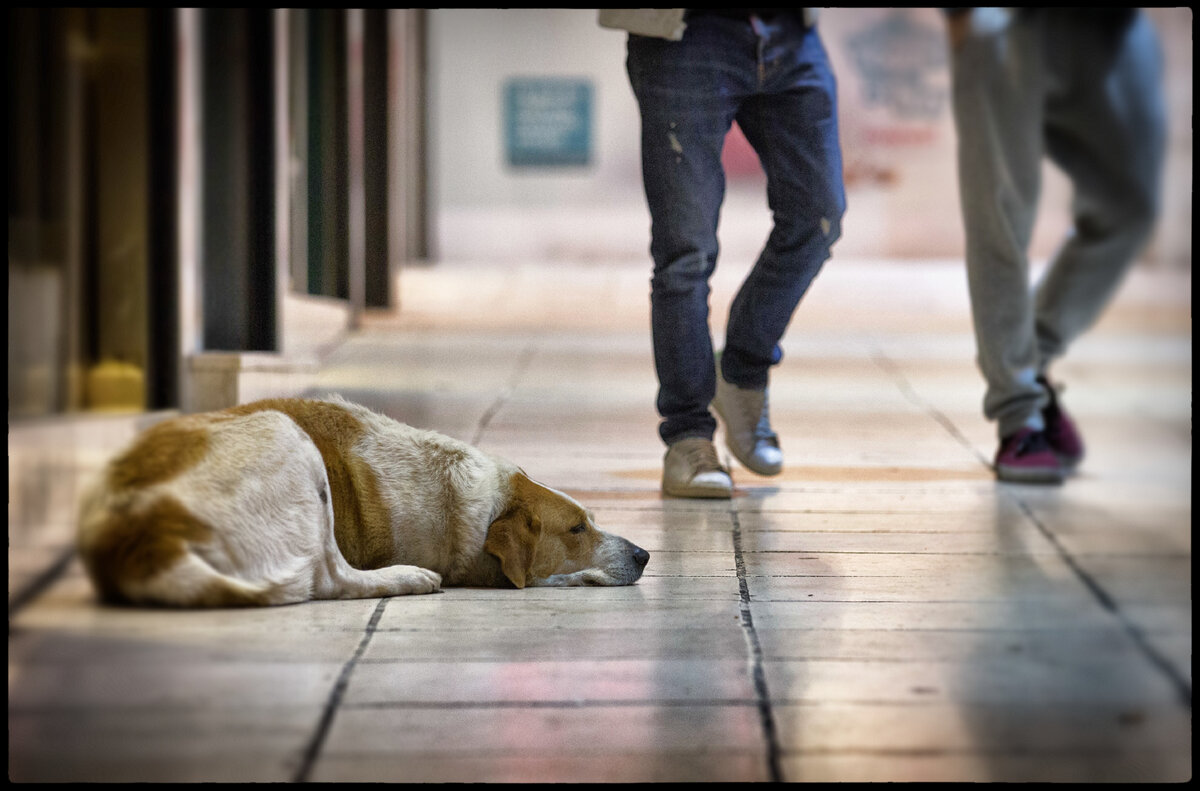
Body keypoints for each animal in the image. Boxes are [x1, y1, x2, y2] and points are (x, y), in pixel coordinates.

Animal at [77, 396, 648, 607]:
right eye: (577, 529)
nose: (644, 554)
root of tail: (140, 534)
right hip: (286, 437)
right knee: (327, 578)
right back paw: (407, 578)